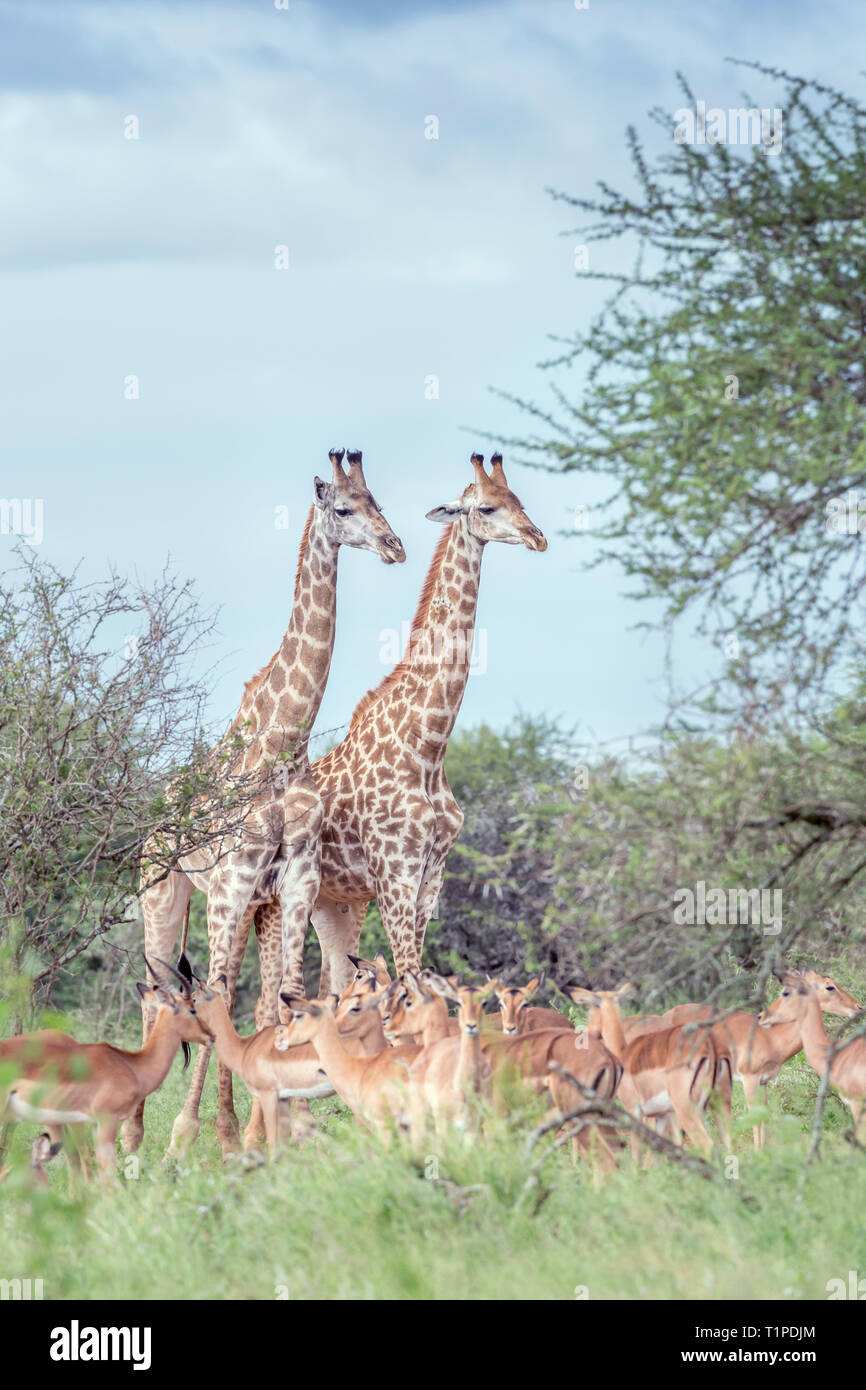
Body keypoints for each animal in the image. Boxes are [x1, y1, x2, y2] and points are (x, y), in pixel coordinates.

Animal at [118, 447, 403, 1150]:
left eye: (380, 502)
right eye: (343, 508)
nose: (395, 546)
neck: (282, 742)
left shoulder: (294, 882)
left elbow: (287, 995)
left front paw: (279, 1128)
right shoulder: (231, 882)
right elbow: (215, 996)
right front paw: (199, 1136)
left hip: (245, 905)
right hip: (166, 894)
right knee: (157, 990)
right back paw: (141, 1137)